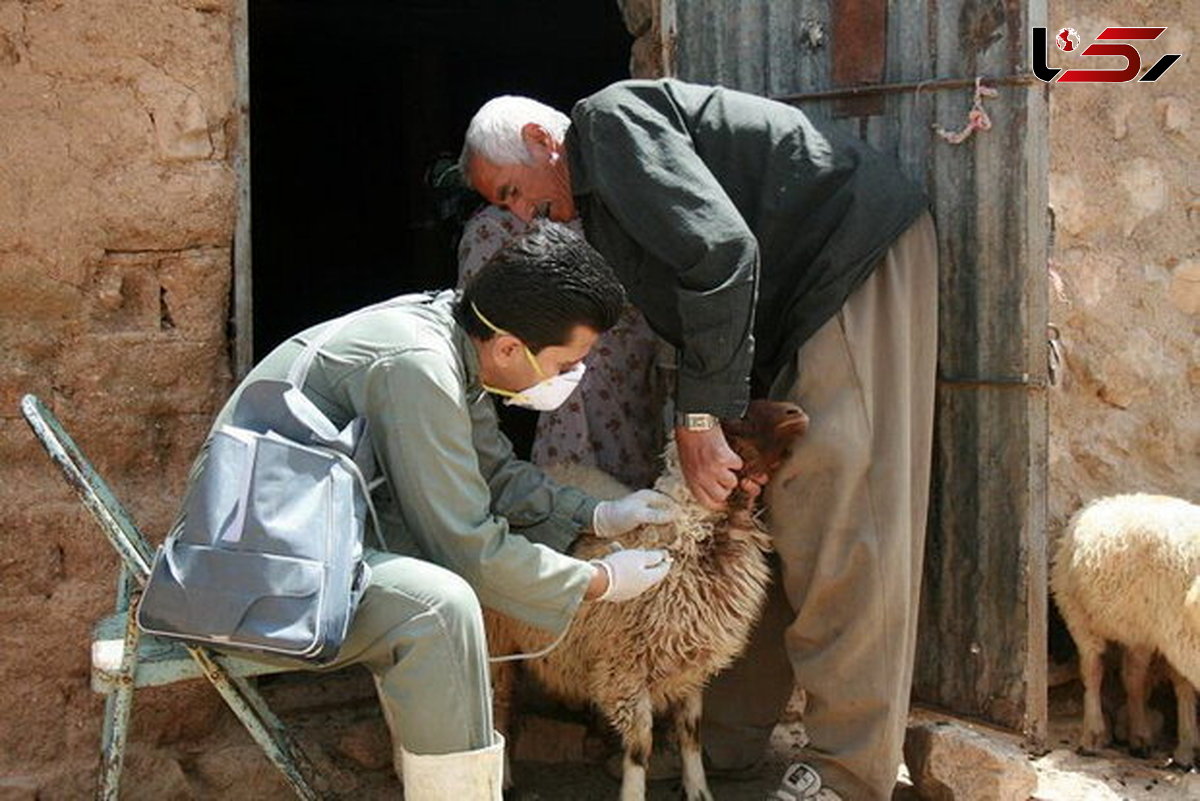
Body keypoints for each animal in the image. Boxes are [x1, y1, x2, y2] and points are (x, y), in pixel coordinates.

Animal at [484, 400, 806, 801]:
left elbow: (691, 733)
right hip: (496, 634)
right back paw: (503, 777)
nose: (797, 413)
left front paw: (698, 790)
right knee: (499, 703)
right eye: (738, 415)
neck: (691, 536)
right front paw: (635, 791)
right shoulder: (625, 670)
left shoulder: (691, 668)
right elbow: (640, 748)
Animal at [1051, 491, 1200, 767]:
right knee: (1095, 670)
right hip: (1080, 615)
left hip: (1141, 630)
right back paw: (1094, 736)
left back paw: (1145, 738)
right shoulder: (1178, 634)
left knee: (1135, 679)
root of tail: (1104, 501)